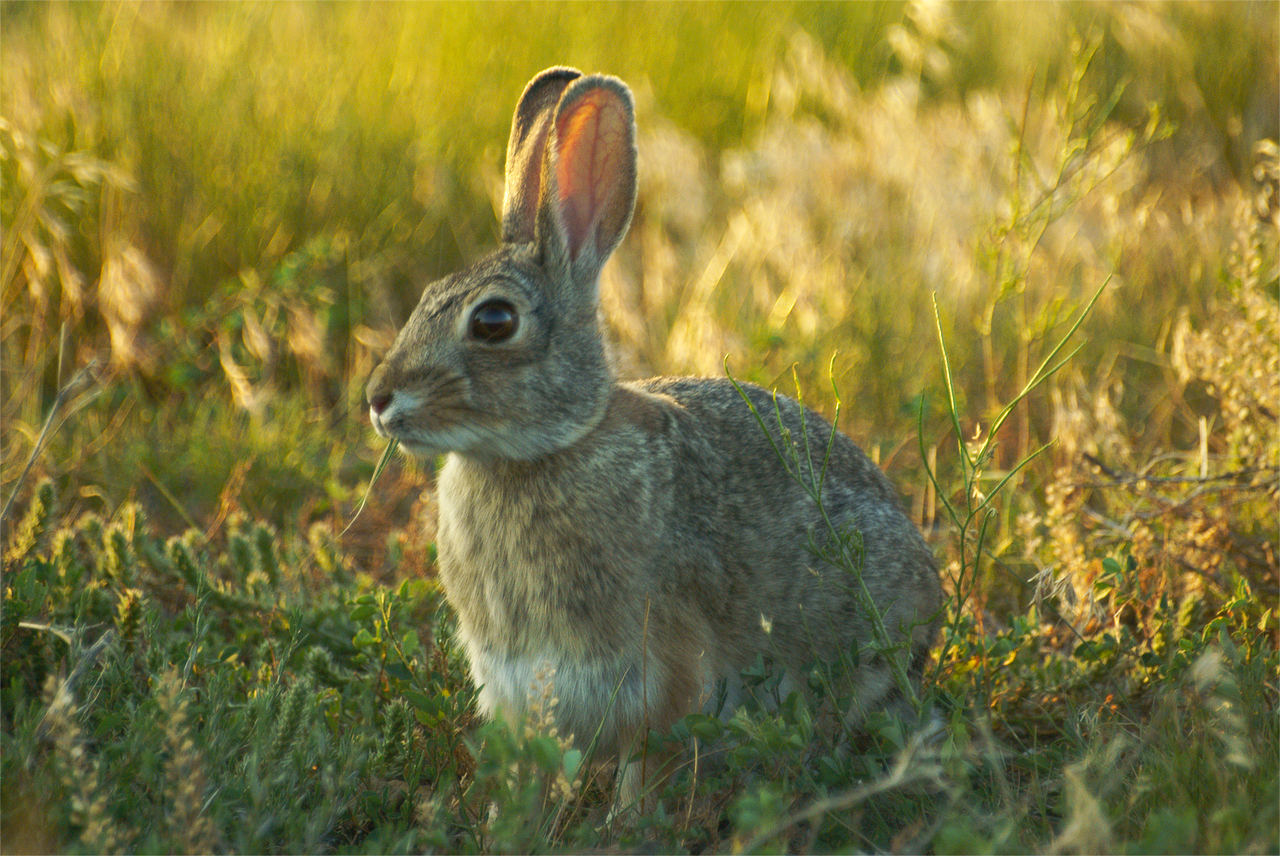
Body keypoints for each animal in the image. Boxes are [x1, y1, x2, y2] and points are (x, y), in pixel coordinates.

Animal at [366, 66, 947, 808]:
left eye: (494, 322)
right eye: (424, 297)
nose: (378, 399)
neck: (543, 452)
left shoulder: (666, 677)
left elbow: (646, 776)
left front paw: (628, 824)